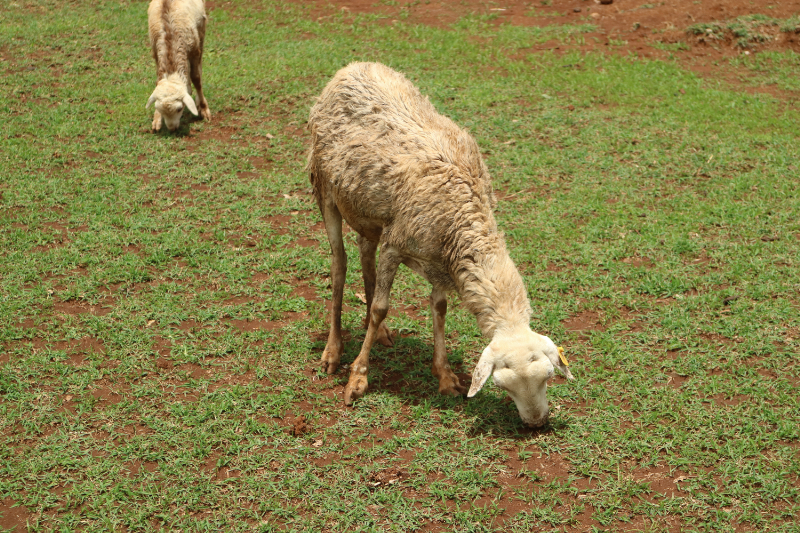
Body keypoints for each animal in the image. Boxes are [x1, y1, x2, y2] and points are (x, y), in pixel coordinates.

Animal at [146, 0, 211, 131]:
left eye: (179, 109)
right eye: (158, 108)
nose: (172, 129)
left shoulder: (194, 50)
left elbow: (197, 79)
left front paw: (203, 108)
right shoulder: (156, 53)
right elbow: (158, 81)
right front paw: (157, 119)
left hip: (201, 29)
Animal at [306, 62, 576, 428]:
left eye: (548, 376)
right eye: (502, 384)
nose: (536, 423)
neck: (464, 216)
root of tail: (352, 67)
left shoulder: (440, 261)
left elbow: (439, 308)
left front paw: (445, 376)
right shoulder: (396, 245)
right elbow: (380, 307)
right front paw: (358, 378)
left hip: (368, 211)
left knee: (364, 251)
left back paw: (379, 333)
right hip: (325, 189)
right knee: (339, 264)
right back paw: (333, 352)